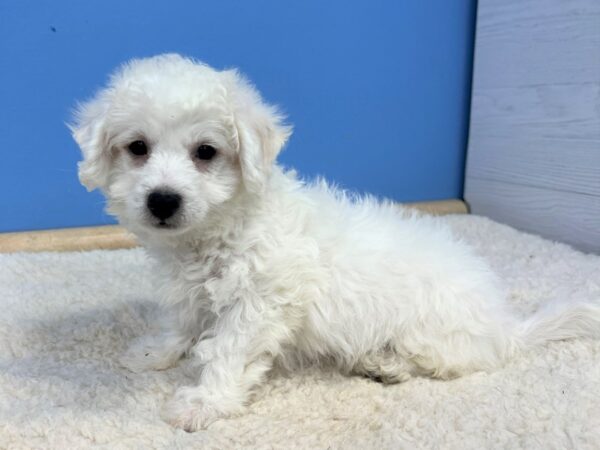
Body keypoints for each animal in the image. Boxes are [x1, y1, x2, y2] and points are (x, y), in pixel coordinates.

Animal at [71, 54, 600, 430]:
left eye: (206, 152)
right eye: (138, 147)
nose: (163, 199)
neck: (216, 232)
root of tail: (506, 327)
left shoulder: (261, 300)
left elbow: (228, 351)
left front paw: (204, 402)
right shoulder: (191, 288)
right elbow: (182, 320)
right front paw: (157, 352)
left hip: (431, 333)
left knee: (444, 363)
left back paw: (386, 363)